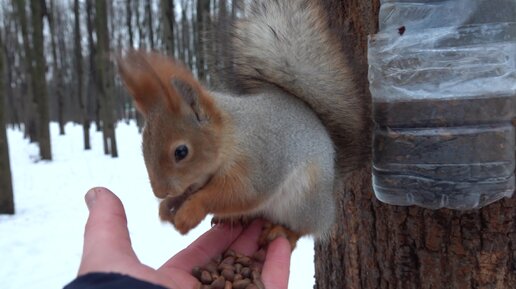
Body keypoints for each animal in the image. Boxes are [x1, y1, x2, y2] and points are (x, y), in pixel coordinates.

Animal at [117, 0, 366, 248]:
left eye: (181, 152)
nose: (160, 192)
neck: (232, 134)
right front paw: (168, 207)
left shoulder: (258, 160)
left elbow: (238, 193)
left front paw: (190, 211)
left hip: (304, 203)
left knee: (304, 229)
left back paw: (282, 232)